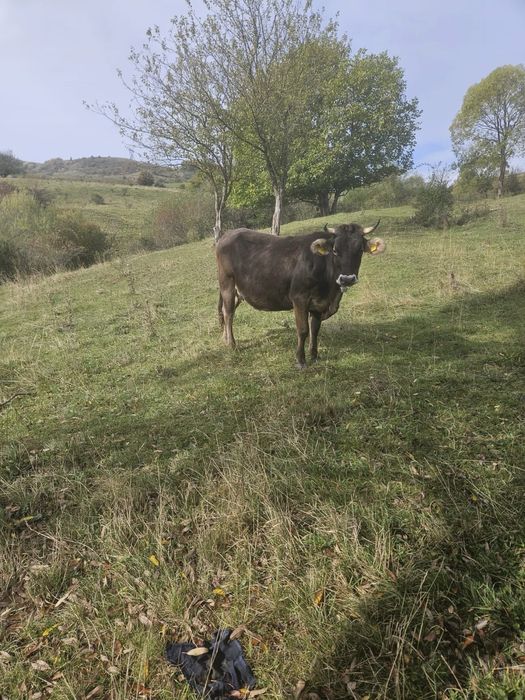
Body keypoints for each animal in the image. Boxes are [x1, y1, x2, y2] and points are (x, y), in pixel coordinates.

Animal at [216, 221, 385, 367]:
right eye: (335, 251)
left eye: (360, 250)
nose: (347, 279)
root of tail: (227, 235)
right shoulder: (299, 298)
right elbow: (303, 330)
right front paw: (301, 360)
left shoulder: (318, 304)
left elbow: (315, 329)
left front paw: (314, 355)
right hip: (227, 284)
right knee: (229, 313)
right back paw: (232, 344)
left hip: (238, 291)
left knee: (225, 310)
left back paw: (225, 338)